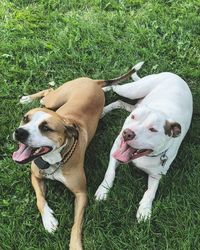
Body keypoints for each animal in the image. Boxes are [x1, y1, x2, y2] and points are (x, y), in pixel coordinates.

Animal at [12, 63, 142, 250]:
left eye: (46, 128)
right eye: (25, 119)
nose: (19, 132)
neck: (54, 161)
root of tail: (92, 82)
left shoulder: (81, 194)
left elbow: (76, 224)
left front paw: (74, 245)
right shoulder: (35, 175)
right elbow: (40, 199)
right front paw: (49, 220)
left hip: (58, 100)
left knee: (49, 91)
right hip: (54, 100)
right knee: (47, 93)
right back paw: (27, 99)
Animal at [95, 63, 192, 222]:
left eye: (153, 129)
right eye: (133, 117)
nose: (127, 133)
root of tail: (174, 75)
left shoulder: (157, 176)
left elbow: (150, 192)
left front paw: (145, 210)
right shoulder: (115, 148)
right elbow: (110, 172)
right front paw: (103, 190)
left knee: (119, 102)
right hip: (133, 90)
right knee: (115, 85)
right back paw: (103, 90)